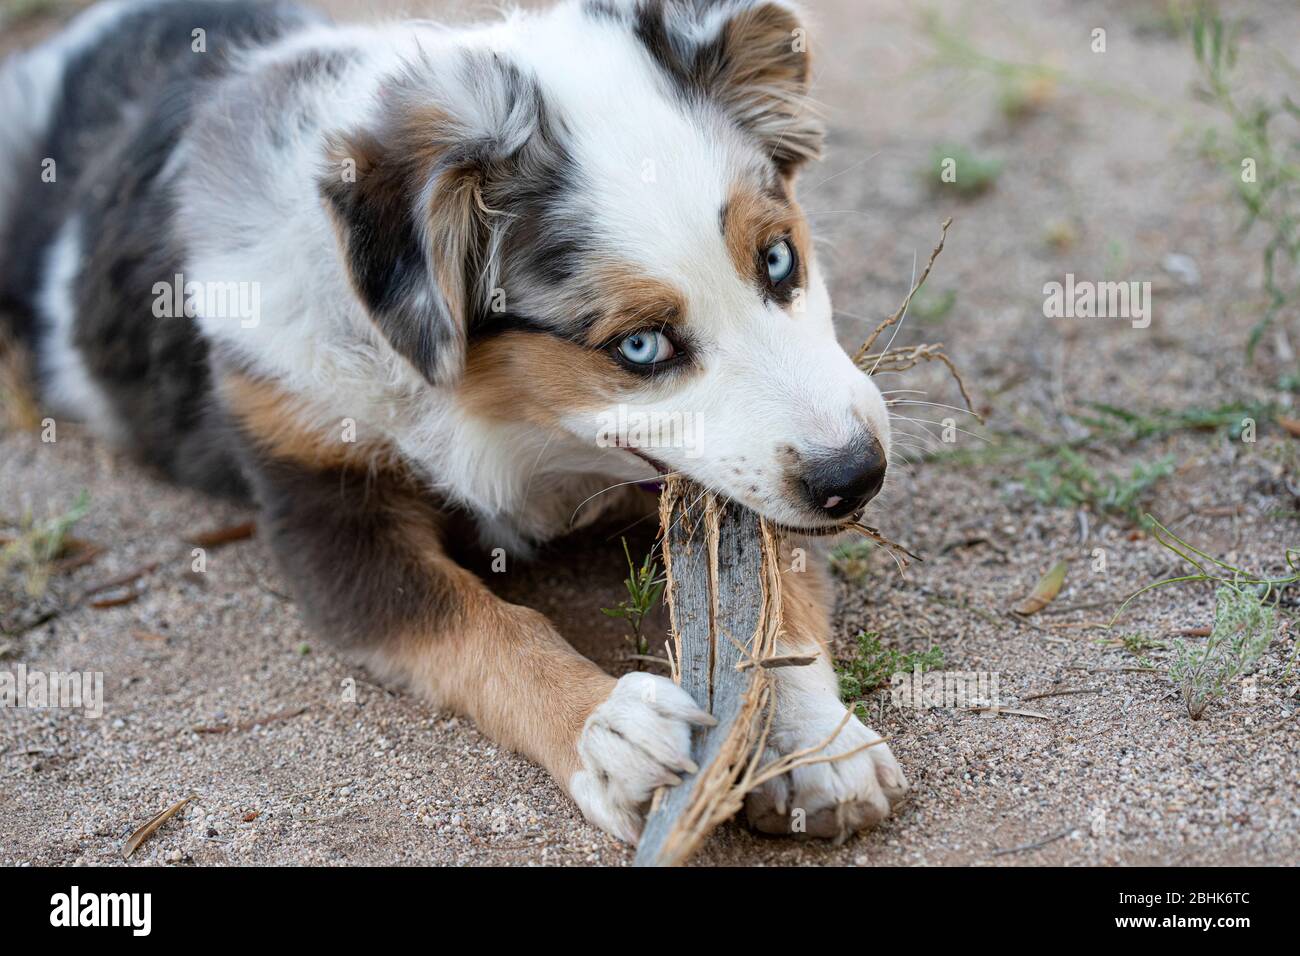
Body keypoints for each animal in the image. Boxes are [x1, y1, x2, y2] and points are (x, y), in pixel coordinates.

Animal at [0, 0, 909, 842]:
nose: (857, 478)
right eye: (640, 345)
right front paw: (608, 733)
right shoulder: (320, 502)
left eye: (780, 259)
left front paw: (817, 744)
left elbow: (769, 590)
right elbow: (479, 622)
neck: (507, 420)